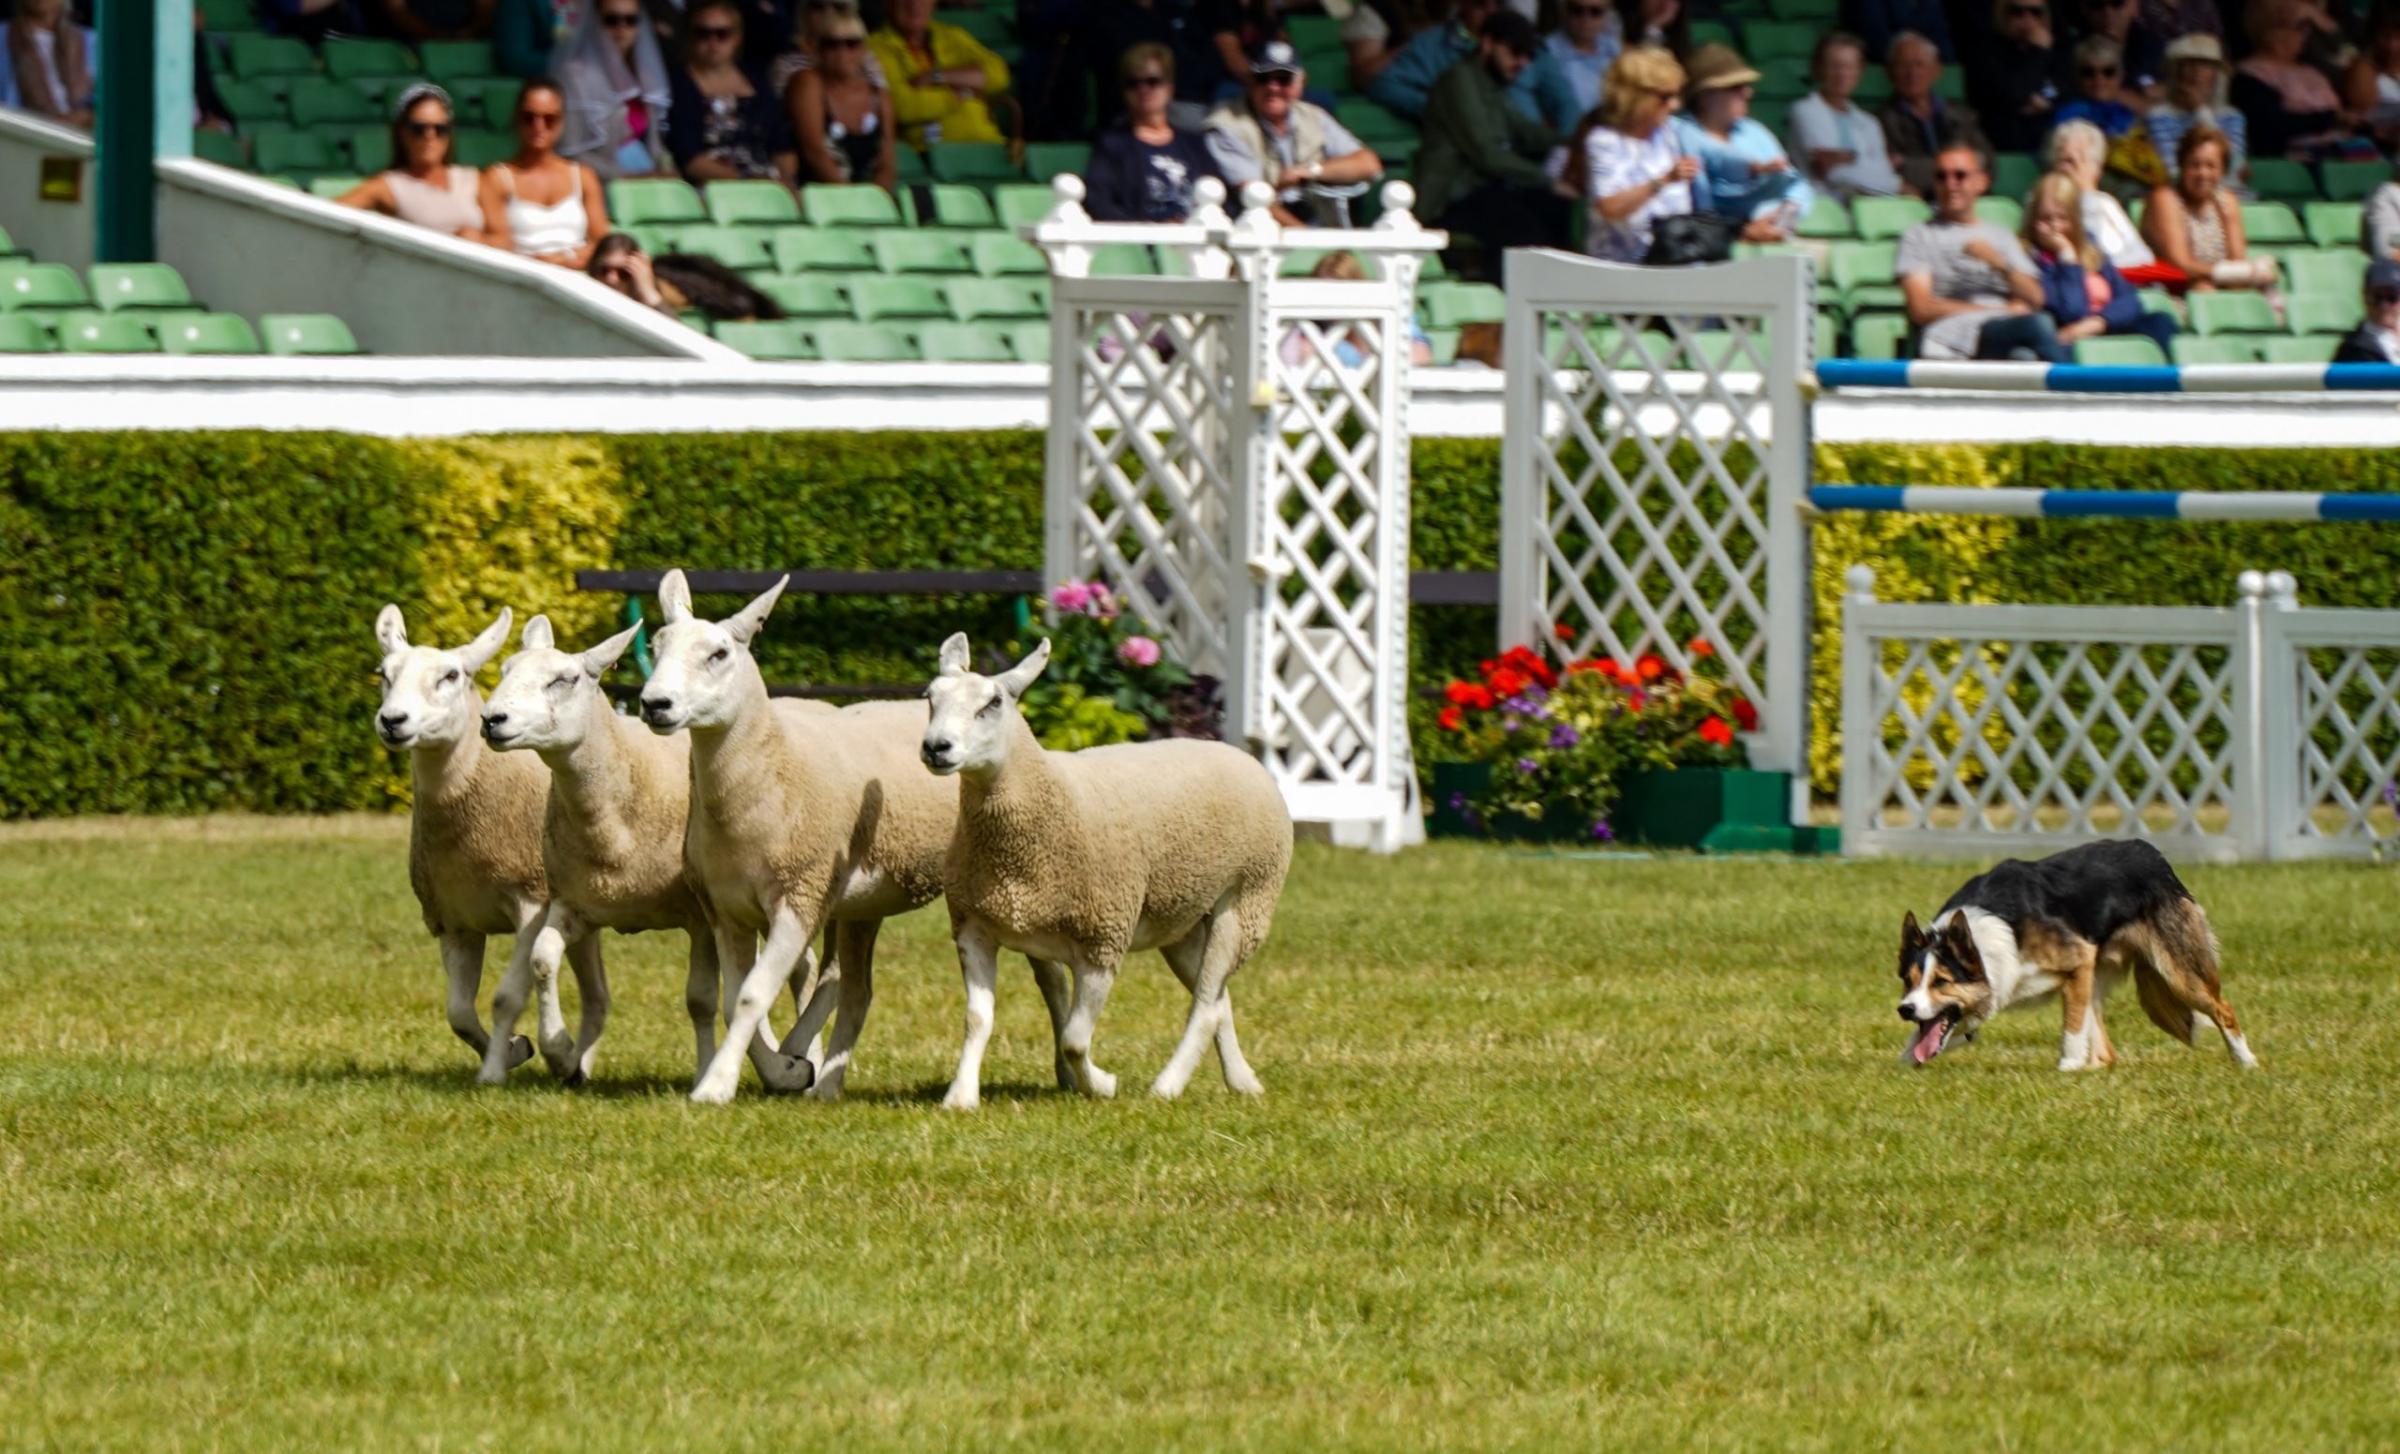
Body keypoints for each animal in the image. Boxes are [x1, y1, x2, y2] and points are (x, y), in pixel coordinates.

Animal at [374, 607, 580, 1084]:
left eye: (450, 675)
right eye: (383, 674)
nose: (392, 721)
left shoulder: (532, 901)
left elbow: (507, 996)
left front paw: (497, 1070)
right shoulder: (453, 920)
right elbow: (459, 1013)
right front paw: (514, 1050)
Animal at [472, 614, 792, 1094]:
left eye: (564, 680)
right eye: (507, 669)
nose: (492, 720)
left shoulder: (700, 915)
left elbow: (701, 999)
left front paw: (706, 1070)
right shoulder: (571, 905)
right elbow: (542, 961)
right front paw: (560, 1051)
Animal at [638, 571, 1003, 1103]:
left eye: (719, 654)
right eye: (656, 645)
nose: (654, 704)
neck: (770, 770)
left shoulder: (799, 896)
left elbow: (751, 997)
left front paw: (720, 1086)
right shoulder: (726, 909)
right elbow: (735, 1000)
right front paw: (782, 1071)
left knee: (841, 980)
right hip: (859, 902)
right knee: (844, 982)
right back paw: (819, 1073)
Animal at [921, 633, 1296, 1113]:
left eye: (994, 702)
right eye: (930, 698)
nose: (936, 747)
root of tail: (1236, 752)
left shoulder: (1103, 937)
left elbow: (1075, 1039)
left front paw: (1101, 1084)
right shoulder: (976, 927)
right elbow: (977, 1019)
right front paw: (961, 1096)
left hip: (1248, 897)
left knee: (1206, 1003)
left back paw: (1167, 1086)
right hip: (1183, 919)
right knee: (1217, 997)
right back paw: (1242, 1080)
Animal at [1891, 844, 2246, 1070]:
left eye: (1941, 982)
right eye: (1908, 982)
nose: (1905, 1009)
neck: (1985, 940)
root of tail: (2157, 857)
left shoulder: (2078, 961)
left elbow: (2072, 1028)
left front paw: (2068, 1066)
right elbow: (1925, 1041)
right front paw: (1903, 1065)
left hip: (2178, 972)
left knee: (2223, 1009)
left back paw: (2245, 1062)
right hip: (2103, 979)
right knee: (2107, 1054)